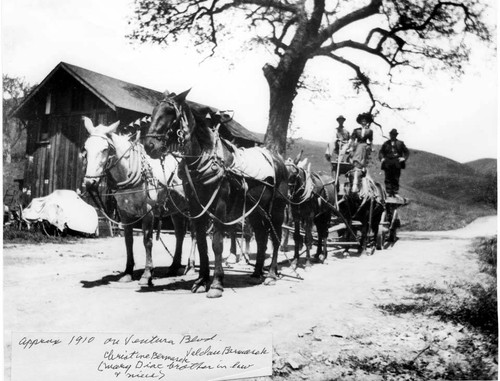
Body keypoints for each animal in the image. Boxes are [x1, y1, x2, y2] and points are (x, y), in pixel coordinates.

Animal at [143, 91, 288, 296]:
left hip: (276, 210)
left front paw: (217, 283)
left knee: (275, 239)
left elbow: (217, 243)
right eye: (154, 111)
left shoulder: (219, 206)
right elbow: (202, 243)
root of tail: (279, 160)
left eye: (170, 113)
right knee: (261, 239)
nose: (149, 145)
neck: (206, 159)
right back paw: (257, 272)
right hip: (255, 211)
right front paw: (202, 280)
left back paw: (271, 275)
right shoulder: (196, 207)